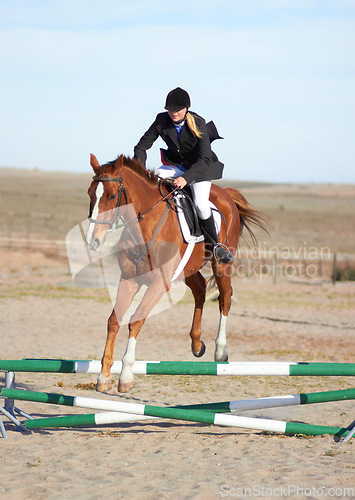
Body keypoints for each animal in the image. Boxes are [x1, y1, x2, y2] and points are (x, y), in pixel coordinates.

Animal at [85, 152, 266, 390]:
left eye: (112, 195)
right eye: (90, 194)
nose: (92, 240)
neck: (145, 227)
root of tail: (226, 193)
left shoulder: (158, 284)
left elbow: (135, 320)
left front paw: (125, 375)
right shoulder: (129, 279)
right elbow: (114, 320)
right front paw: (104, 376)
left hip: (221, 265)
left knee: (225, 297)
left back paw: (220, 350)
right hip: (188, 268)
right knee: (200, 289)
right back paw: (197, 344)